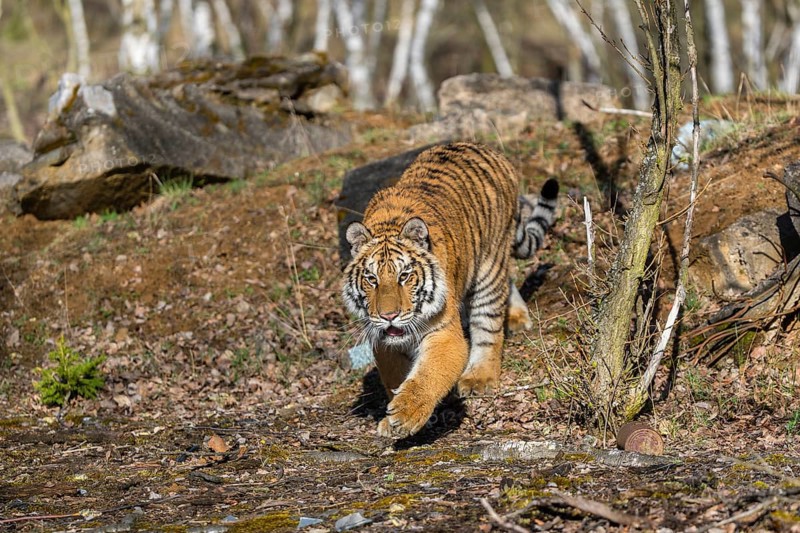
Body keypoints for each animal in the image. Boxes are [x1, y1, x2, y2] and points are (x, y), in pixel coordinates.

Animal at [342, 142, 558, 438]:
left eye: (404, 276)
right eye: (371, 279)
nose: (389, 316)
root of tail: (485, 148)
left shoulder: (444, 334)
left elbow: (428, 374)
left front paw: (406, 415)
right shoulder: (382, 340)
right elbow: (396, 375)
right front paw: (393, 417)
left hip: (488, 267)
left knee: (489, 324)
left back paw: (480, 376)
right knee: (508, 280)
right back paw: (516, 316)